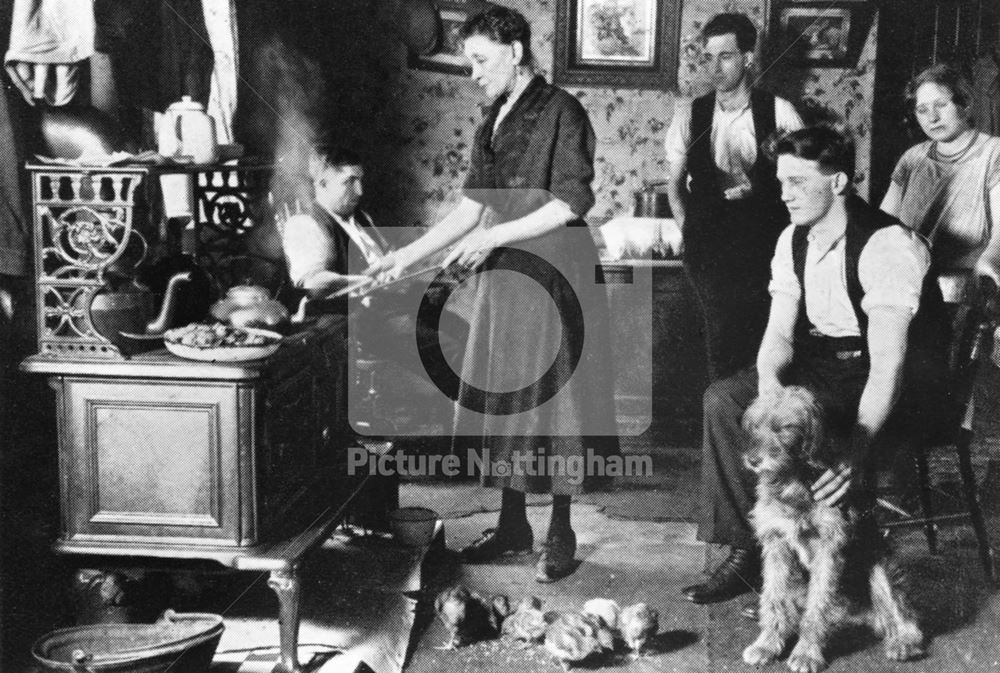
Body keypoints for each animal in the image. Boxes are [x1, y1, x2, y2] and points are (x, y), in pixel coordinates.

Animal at [744, 386, 920, 668]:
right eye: (755, 426)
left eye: (784, 428)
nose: (752, 461)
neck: (795, 480)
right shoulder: (776, 545)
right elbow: (773, 599)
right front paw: (767, 644)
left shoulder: (828, 548)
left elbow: (817, 607)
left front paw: (806, 653)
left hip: (880, 567)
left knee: (902, 613)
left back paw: (903, 641)